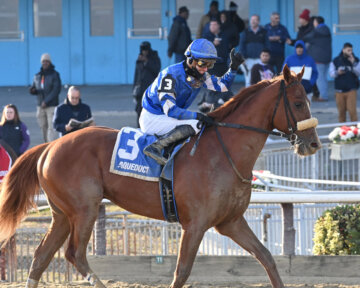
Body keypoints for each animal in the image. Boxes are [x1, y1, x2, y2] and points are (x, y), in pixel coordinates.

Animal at [0, 66, 320, 288]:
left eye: (308, 100)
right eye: (298, 103)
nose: (313, 144)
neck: (223, 152)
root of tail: (49, 146)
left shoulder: (231, 221)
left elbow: (266, 257)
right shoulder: (195, 225)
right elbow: (182, 272)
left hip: (62, 214)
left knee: (41, 257)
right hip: (84, 209)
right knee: (74, 254)